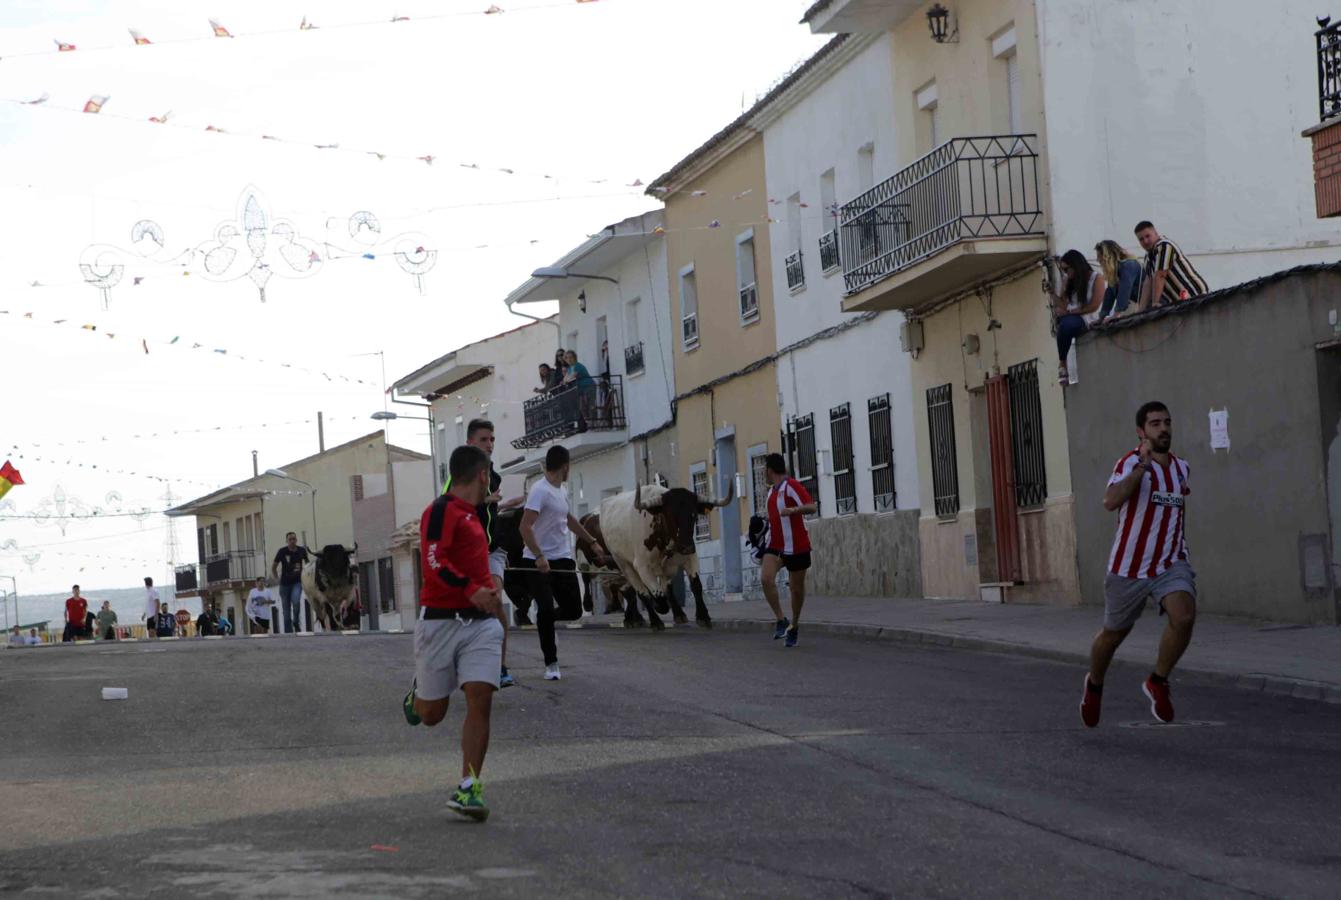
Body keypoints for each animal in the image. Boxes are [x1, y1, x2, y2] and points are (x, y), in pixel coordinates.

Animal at [598, 477, 734, 633]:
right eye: (670, 514)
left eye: (694, 514)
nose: (687, 547)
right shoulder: (642, 566)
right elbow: (655, 594)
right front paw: (657, 609)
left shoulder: (690, 558)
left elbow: (696, 586)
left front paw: (703, 617)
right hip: (623, 564)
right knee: (640, 592)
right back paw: (653, 621)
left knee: (664, 587)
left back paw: (677, 614)